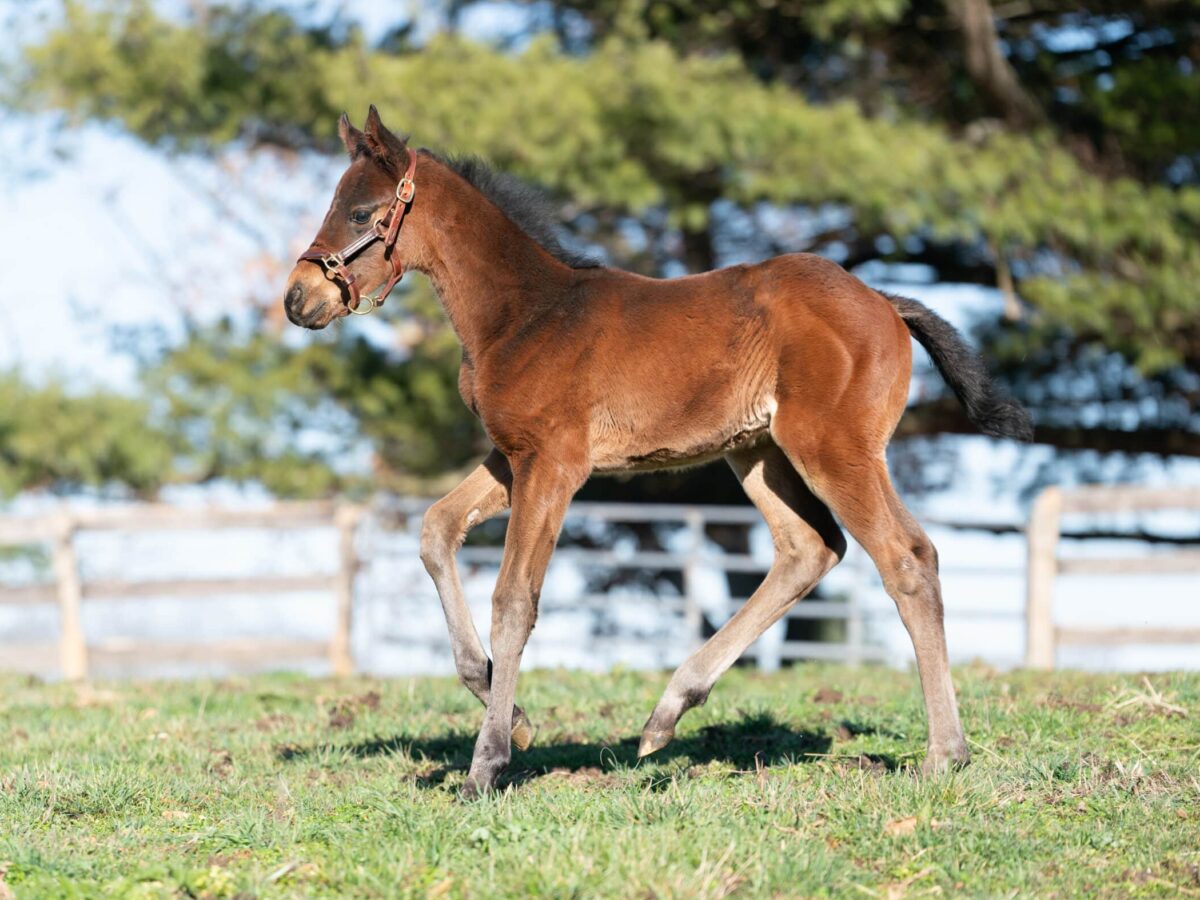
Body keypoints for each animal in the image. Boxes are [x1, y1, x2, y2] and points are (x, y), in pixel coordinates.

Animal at [280, 109, 1032, 801]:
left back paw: (944, 756)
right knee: (810, 549)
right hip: (759, 453)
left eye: (361, 211)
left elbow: (514, 599)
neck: (525, 313)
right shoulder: (513, 455)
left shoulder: (555, 463)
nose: (297, 298)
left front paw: (486, 765)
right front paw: (511, 713)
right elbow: (437, 528)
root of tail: (883, 300)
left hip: (834, 446)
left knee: (906, 557)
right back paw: (666, 714)